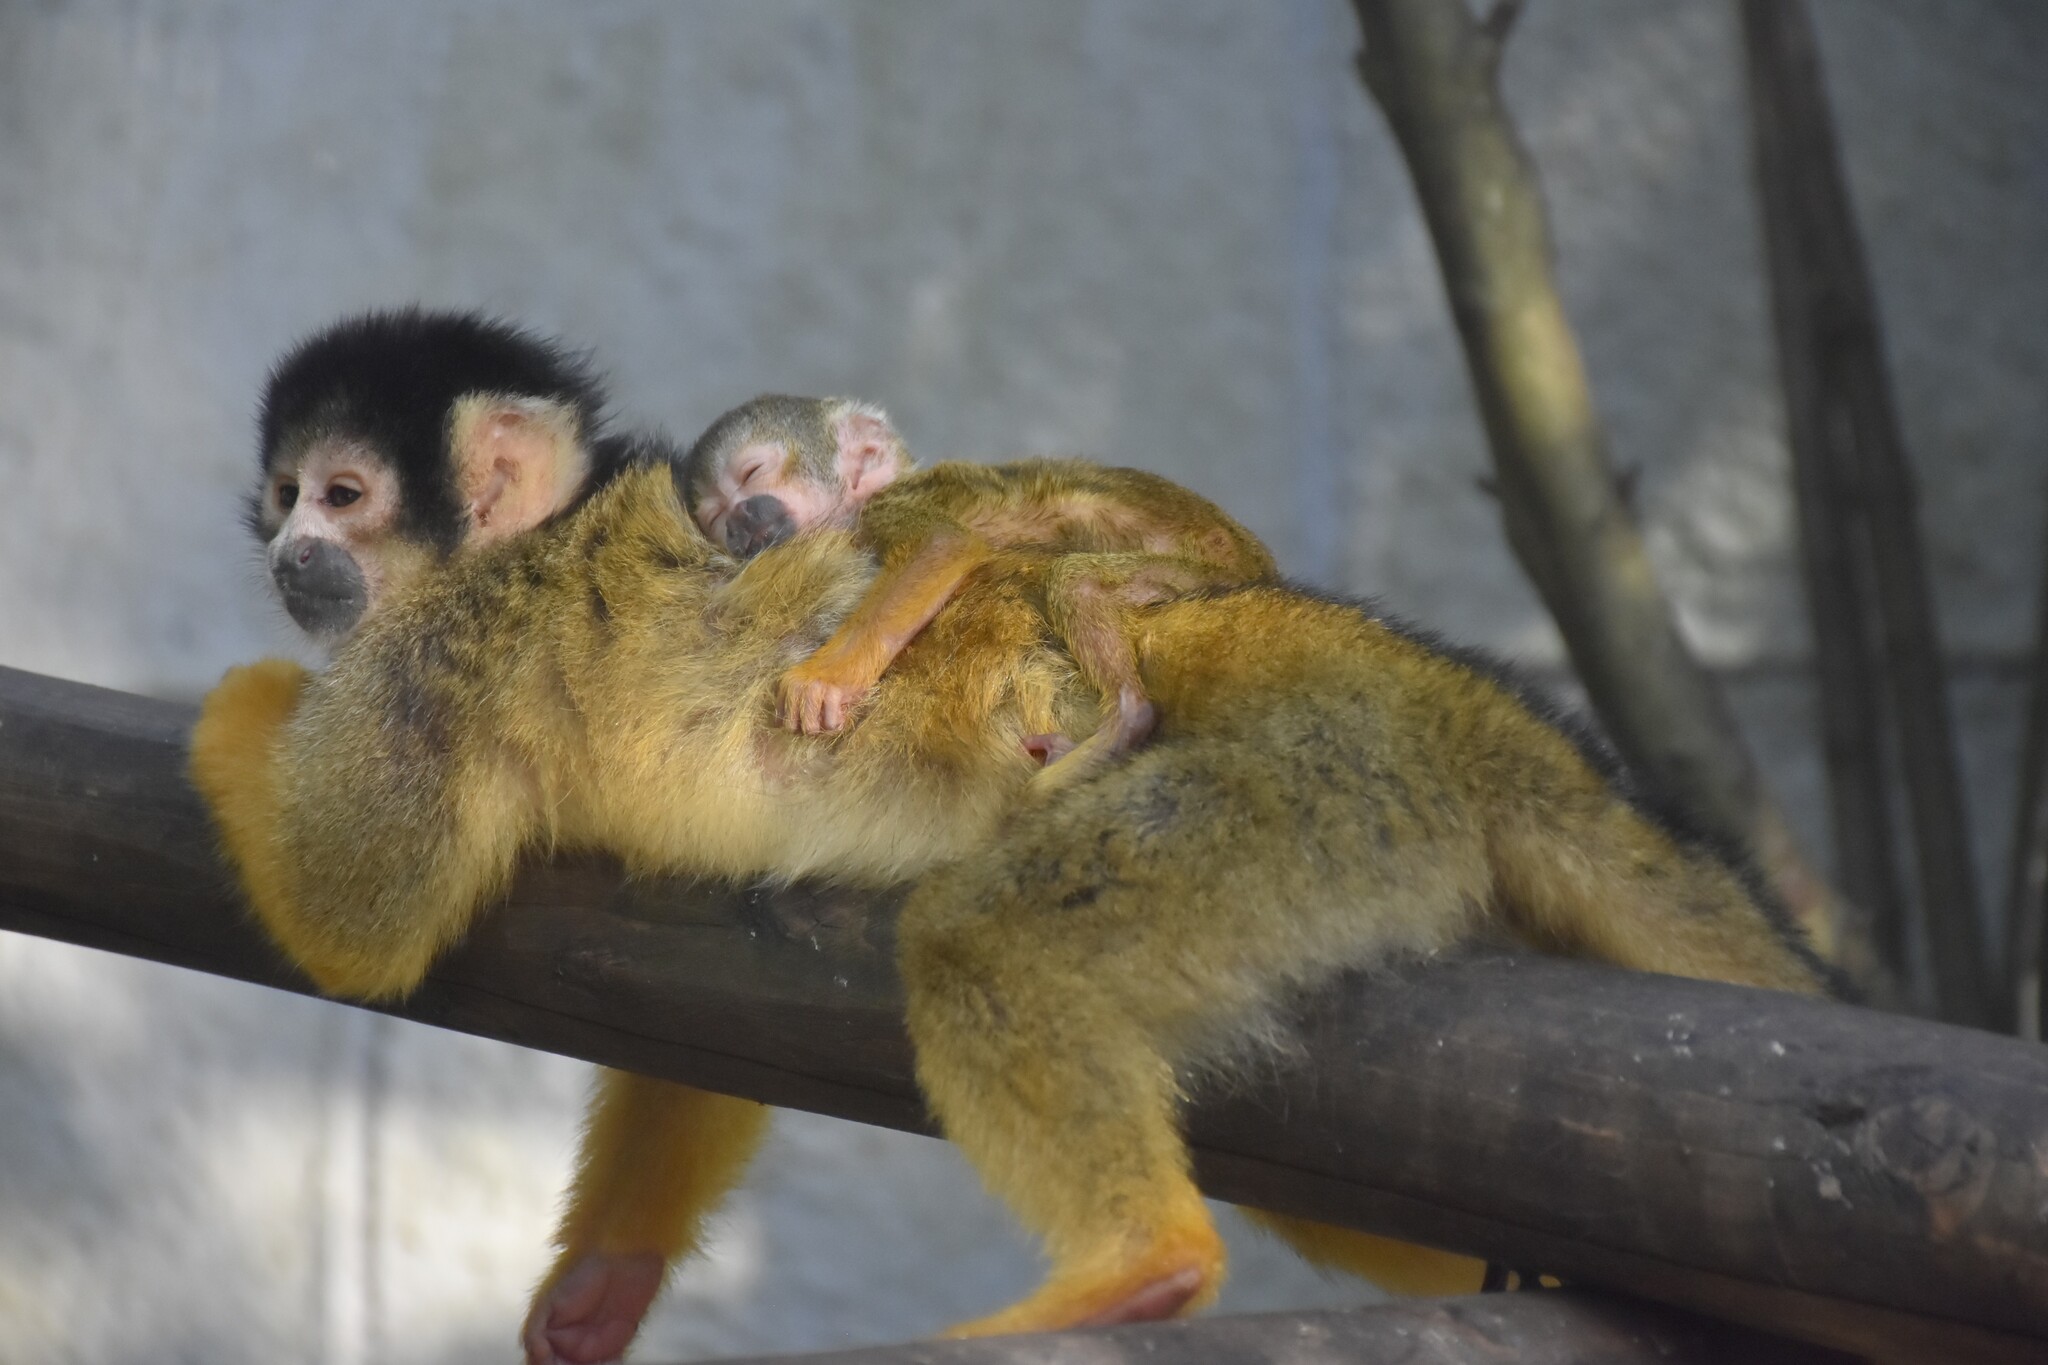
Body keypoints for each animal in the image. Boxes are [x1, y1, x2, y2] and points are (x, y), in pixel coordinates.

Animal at [188, 313, 1826, 1365]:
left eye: (340, 497)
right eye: (280, 503)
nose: (289, 557)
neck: (524, 541)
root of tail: (1408, 675)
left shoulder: (435, 658)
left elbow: (358, 916)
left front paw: (239, 709)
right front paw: (606, 1276)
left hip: (1295, 779)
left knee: (994, 938)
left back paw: (1138, 1269)